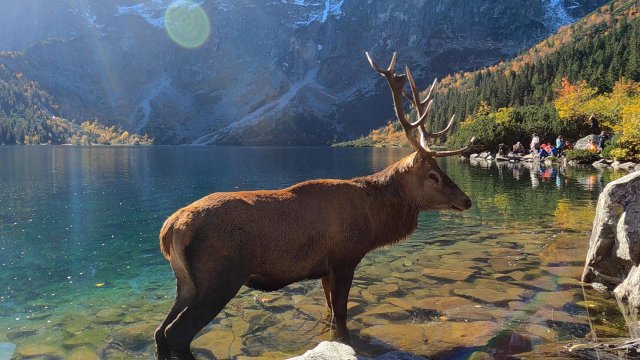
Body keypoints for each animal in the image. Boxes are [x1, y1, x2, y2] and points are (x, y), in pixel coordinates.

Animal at [155, 52, 476, 358]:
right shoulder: (344, 258)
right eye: (433, 175)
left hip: (186, 282)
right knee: (177, 332)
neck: (374, 221)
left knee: (160, 331)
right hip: (221, 277)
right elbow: (341, 315)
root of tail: (169, 229)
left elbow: (330, 312)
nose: (466, 199)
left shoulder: (324, 269)